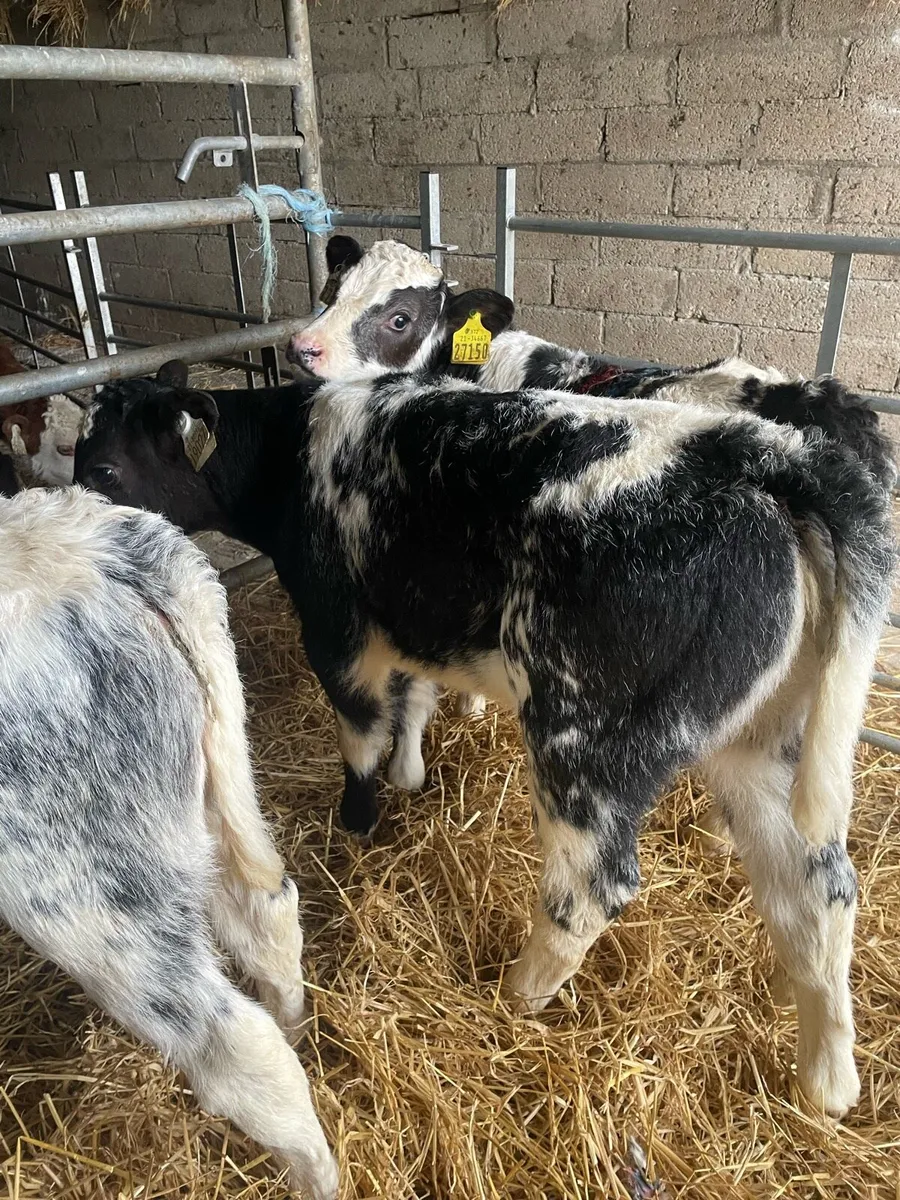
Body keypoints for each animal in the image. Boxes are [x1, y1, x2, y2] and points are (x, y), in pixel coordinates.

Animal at [75, 356, 895, 1120]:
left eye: (104, 468)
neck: (291, 454)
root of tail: (766, 456)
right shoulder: (409, 628)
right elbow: (413, 702)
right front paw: (408, 776)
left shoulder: (338, 630)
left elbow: (361, 734)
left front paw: (358, 822)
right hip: (765, 743)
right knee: (817, 891)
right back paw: (827, 1081)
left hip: (584, 740)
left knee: (588, 890)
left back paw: (516, 996)